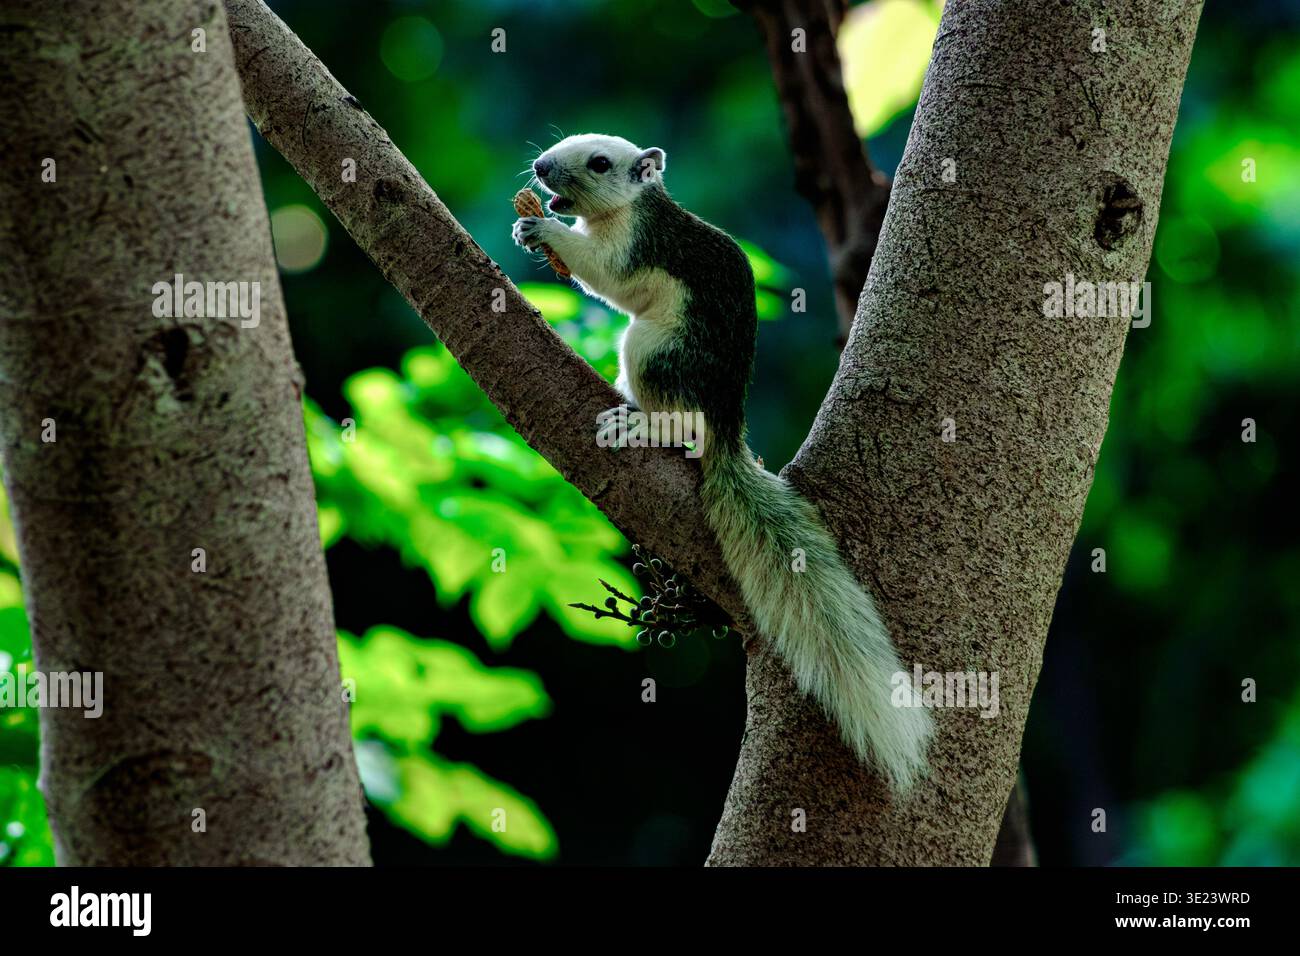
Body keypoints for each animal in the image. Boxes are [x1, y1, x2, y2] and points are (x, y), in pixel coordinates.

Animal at [513, 134, 932, 791]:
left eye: (600, 163)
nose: (539, 167)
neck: (625, 209)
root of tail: (728, 431)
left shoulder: (638, 246)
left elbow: (604, 274)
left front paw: (544, 230)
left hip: (653, 349)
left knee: (682, 420)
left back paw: (639, 422)